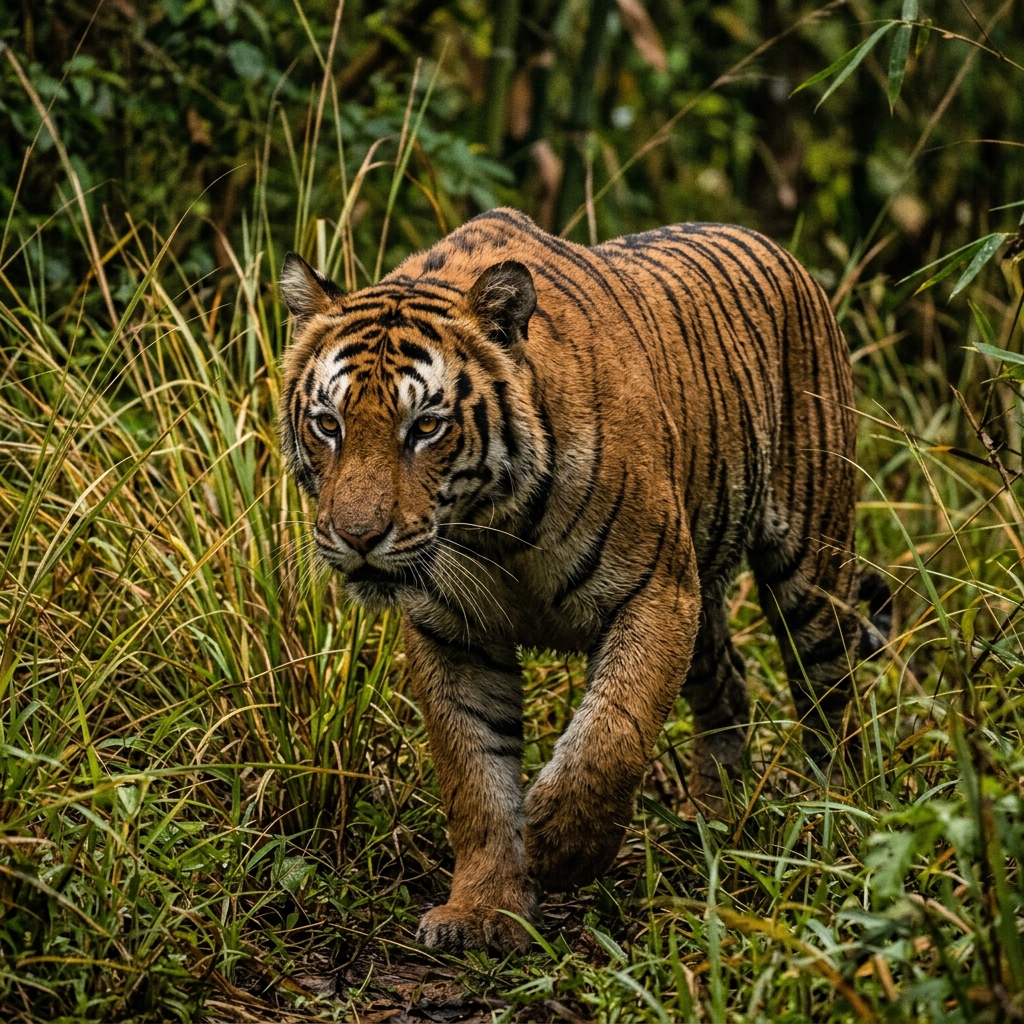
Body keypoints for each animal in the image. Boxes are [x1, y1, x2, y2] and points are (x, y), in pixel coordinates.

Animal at [278, 207, 888, 955]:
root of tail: (775, 245)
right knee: (729, 688)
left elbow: (611, 733)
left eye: (424, 427)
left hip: (809, 562)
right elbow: (474, 775)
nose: (359, 537)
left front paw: (559, 848)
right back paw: (712, 824)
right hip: (709, 600)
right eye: (327, 424)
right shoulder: (451, 632)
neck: (492, 525)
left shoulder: (656, 593)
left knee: (830, 696)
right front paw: (482, 908)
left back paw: (841, 818)